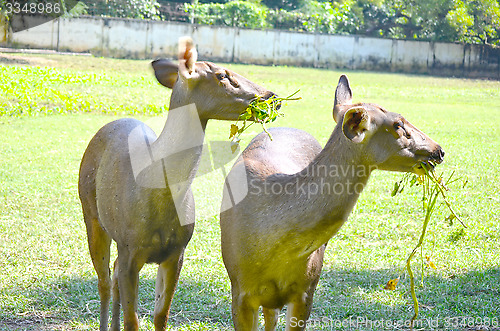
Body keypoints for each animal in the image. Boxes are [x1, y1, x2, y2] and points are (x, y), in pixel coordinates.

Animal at [79, 37, 278, 331]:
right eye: (222, 75)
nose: (270, 95)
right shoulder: (130, 248)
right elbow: (132, 320)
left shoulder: (177, 251)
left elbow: (161, 314)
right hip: (91, 213)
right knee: (103, 280)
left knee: (111, 274)